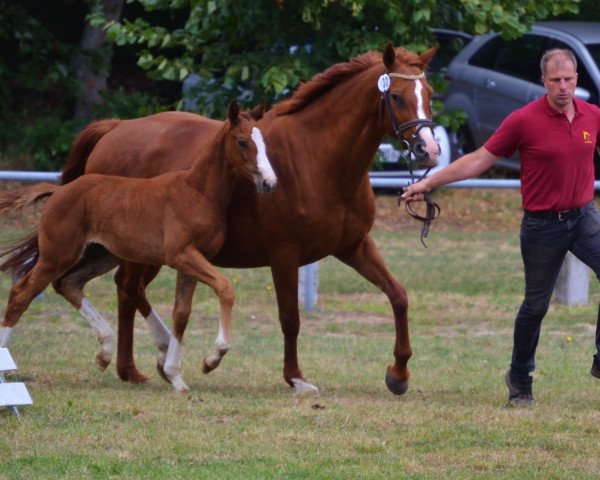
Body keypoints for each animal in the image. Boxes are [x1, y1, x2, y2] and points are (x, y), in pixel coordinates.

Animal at [18, 42, 438, 394]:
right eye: (396, 96)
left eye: (430, 95)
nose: (428, 149)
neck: (317, 159)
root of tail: (116, 128)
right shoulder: (285, 254)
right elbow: (290, 317)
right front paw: (296, 378)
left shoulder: (354, 246)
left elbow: (398, 296)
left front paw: (398, 374)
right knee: (127, 287)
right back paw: (147, 360)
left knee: (127, 288)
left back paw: (141, 365)